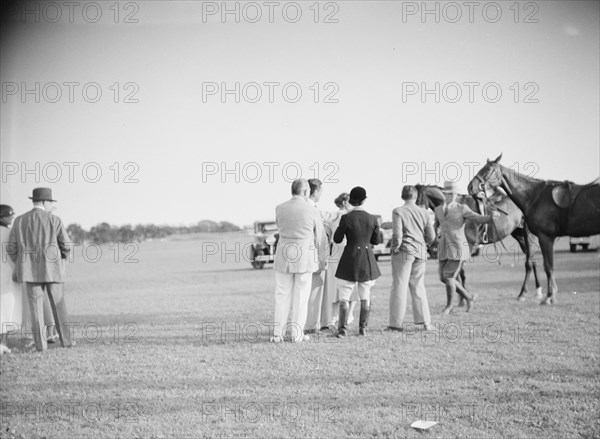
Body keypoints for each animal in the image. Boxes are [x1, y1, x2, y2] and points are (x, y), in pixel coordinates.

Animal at [468, 156, 600, 306]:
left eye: (488, 169)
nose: (470, 187)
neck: (534, 197)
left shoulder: (546, 237)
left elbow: (548, 266)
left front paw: (550, 296)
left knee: (531, 262)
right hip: (522, 236)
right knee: (531, 261)